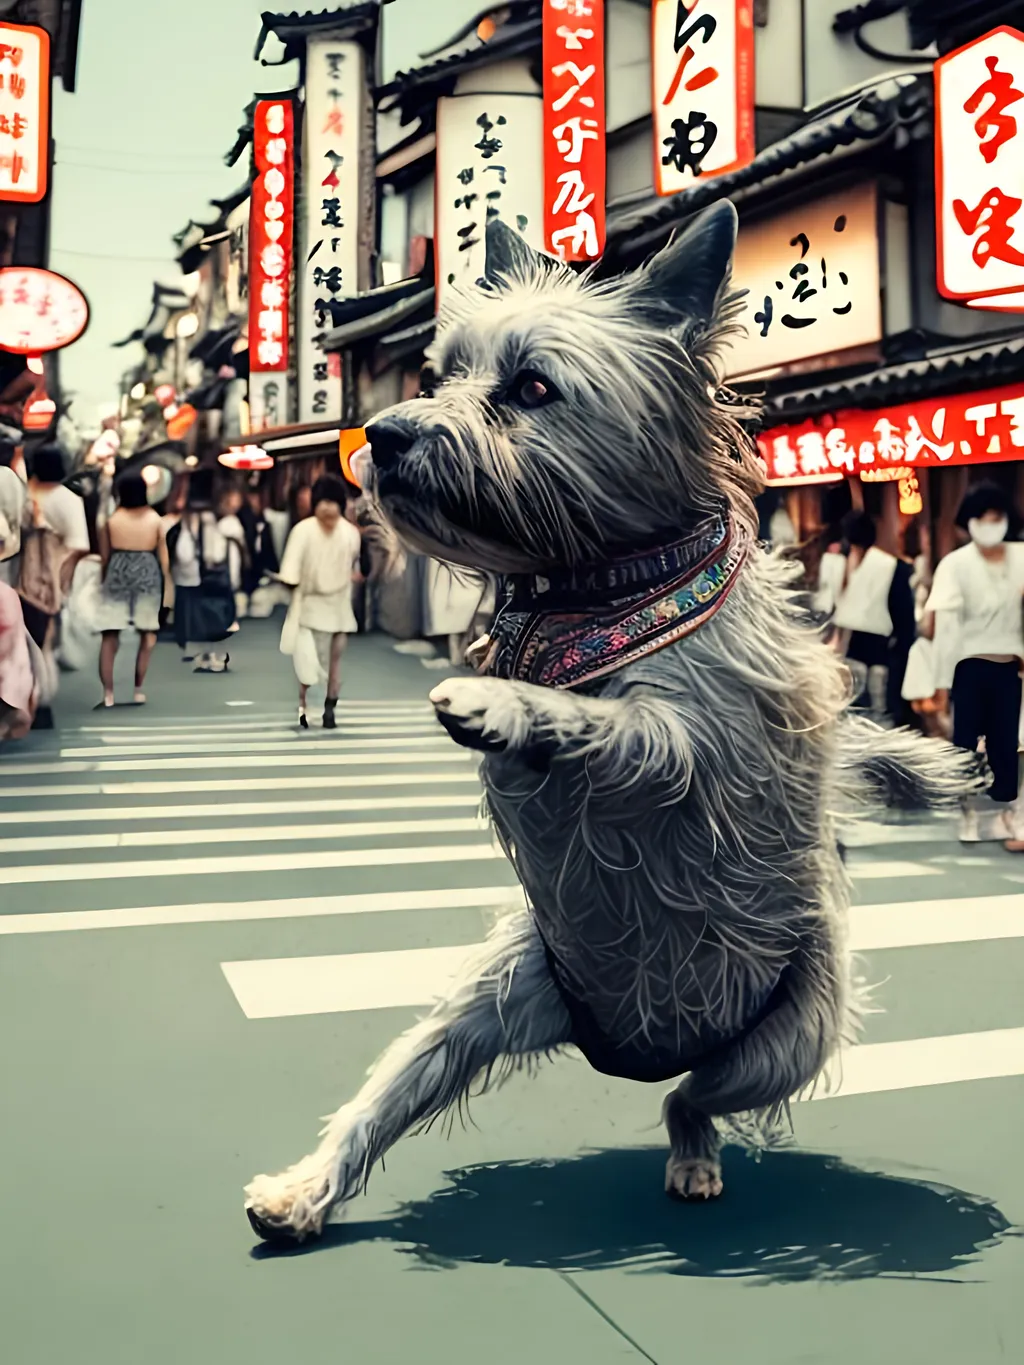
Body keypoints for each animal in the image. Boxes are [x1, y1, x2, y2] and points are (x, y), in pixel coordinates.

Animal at [244, 207, 983, 1244]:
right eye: (442, 375)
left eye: (531, 387)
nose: (384, 434)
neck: (595, 587)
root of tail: (639, 1044)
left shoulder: (695, 744)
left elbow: (612, 722)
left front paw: (503, 706)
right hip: (498, 994)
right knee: (397, 1084)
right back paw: (303, 1189)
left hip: (787, 1036)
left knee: (691, 1098)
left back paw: (693, 1152)